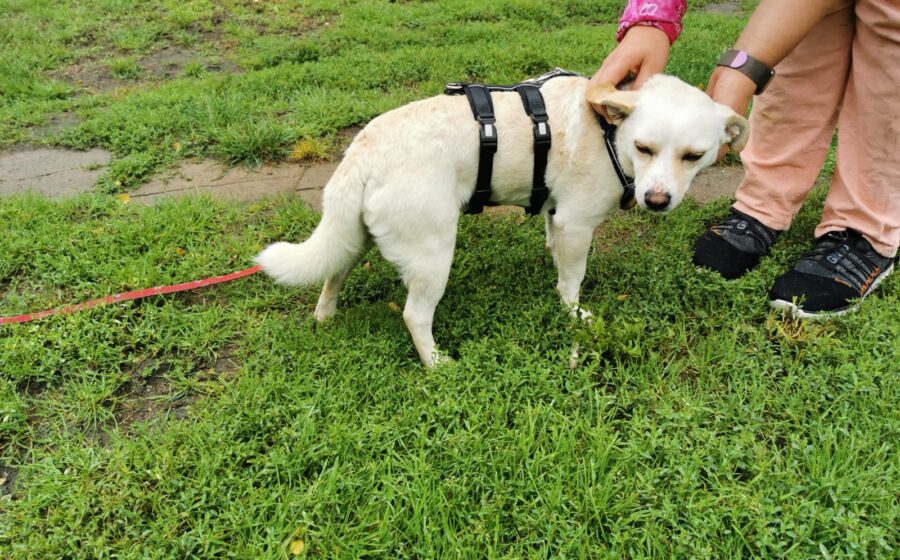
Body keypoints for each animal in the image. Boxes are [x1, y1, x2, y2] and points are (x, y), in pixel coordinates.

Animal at [256, 73, 748, 367]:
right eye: (645, 148)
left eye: (694, 156)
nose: (657, 200)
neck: (609, 131)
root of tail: (363, 151)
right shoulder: (577, 226)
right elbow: (571, 285)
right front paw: (574, 315)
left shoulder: (557, 215)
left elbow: (552, 242)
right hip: (434, 255)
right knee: (415, 315)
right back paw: (436, 364)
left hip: (354, 237)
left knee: (331, 275)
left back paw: (326, 318)